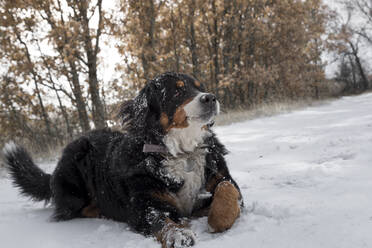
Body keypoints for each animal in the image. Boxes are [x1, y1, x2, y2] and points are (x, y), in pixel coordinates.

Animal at [2, 72, 244, 248]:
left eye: (199, 87)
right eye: (177, 90)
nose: (210, 97)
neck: (182, 152)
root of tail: (54, 172)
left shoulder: (220, 177)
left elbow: (227, 189)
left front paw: (218, 219)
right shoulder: (144, 205)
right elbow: (160, 220)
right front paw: (177, 234)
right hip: (75, 181)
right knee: (74, 209)